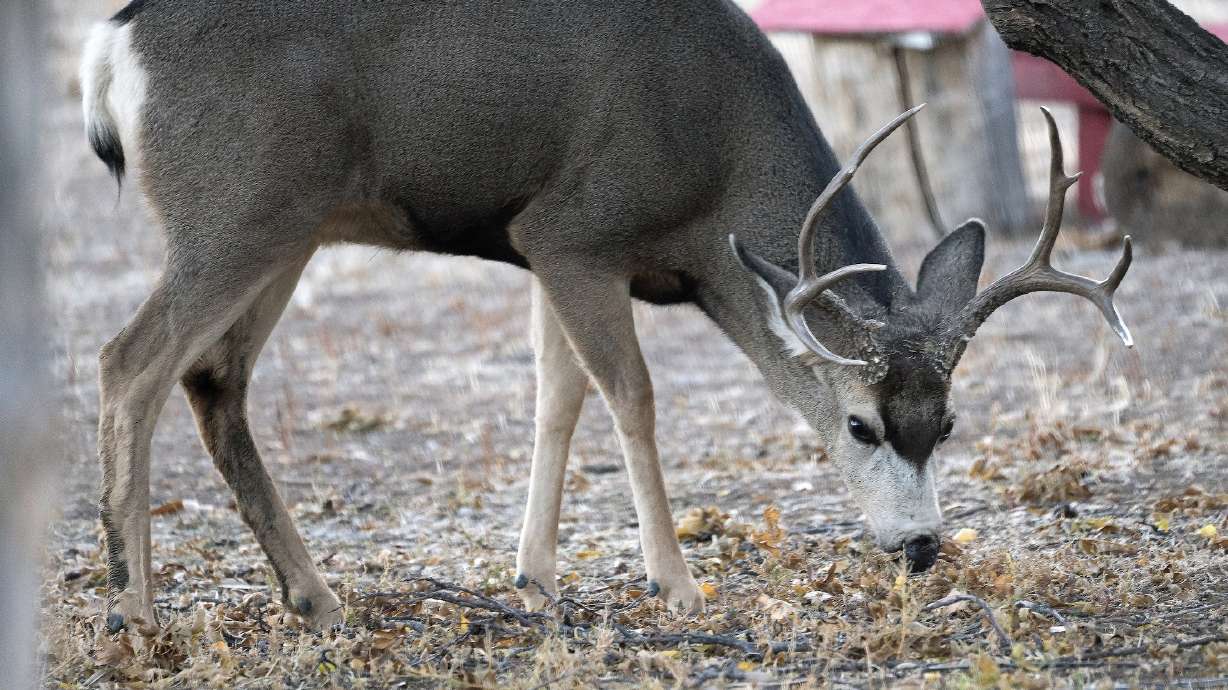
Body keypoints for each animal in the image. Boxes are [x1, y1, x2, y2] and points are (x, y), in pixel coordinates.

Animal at [81, 0, 1133, 632]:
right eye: (859, 425)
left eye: (947, 423)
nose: (919, 547)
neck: (715, 179)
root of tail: (111, 44)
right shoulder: (573, 229)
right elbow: (629, 394)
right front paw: (675, 581)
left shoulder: (552, 255)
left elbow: (558, 396)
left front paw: (535, 575)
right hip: (239, 208)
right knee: (128, 360)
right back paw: (135, 610)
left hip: (289, 224)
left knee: (213, 378)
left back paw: (315, 598)